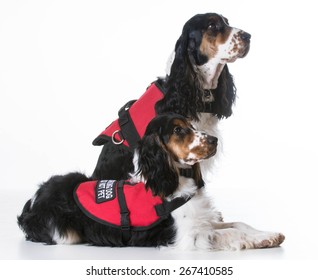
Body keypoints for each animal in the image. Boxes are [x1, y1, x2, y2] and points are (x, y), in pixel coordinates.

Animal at [17, 114, 286, 249]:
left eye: (191, 126)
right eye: (178, 130)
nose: (214, 140)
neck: (175, 181)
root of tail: (32, 201)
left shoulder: (203, 220)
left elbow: (238, 224)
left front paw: (268, 234)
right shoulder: (191, 237)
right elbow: (230, 233)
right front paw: (261, 240)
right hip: (66, 234)